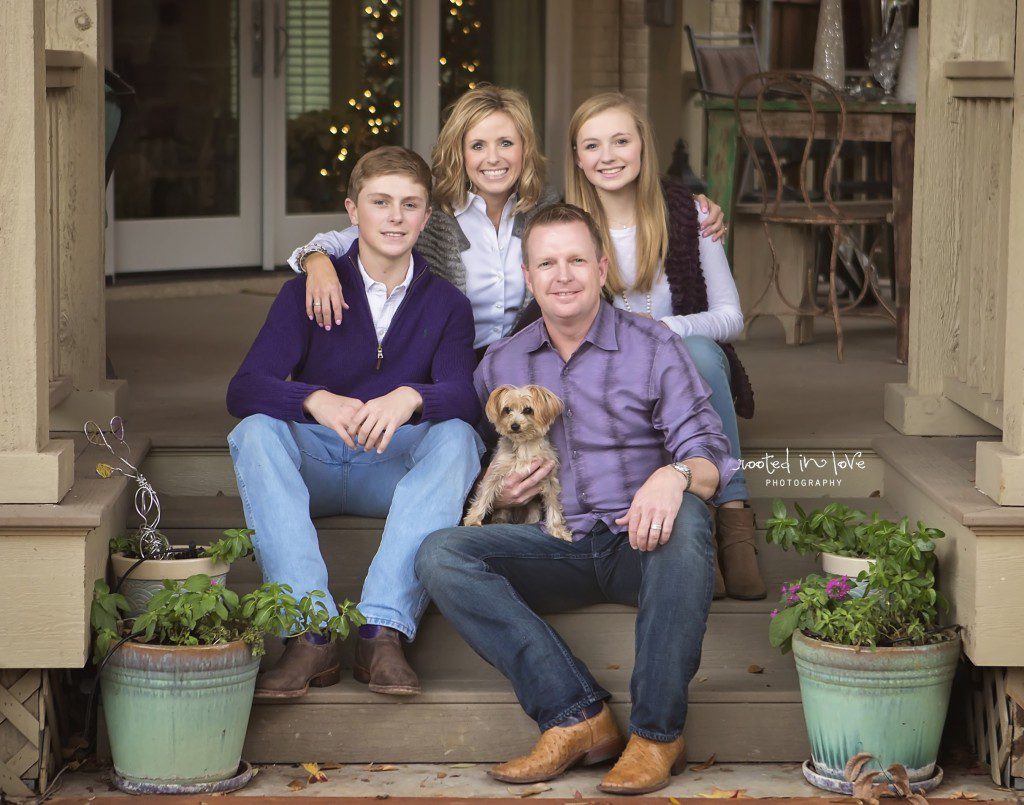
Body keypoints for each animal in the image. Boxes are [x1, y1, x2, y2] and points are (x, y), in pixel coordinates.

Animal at [466, 385, 577, 540]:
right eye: (507, 410)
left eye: (528, 410)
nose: (514, 425)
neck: (524, 445)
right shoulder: (495, 472)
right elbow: (484, 495)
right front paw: (473, 520)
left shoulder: (549, 479)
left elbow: (553, 506)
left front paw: (558, 531)